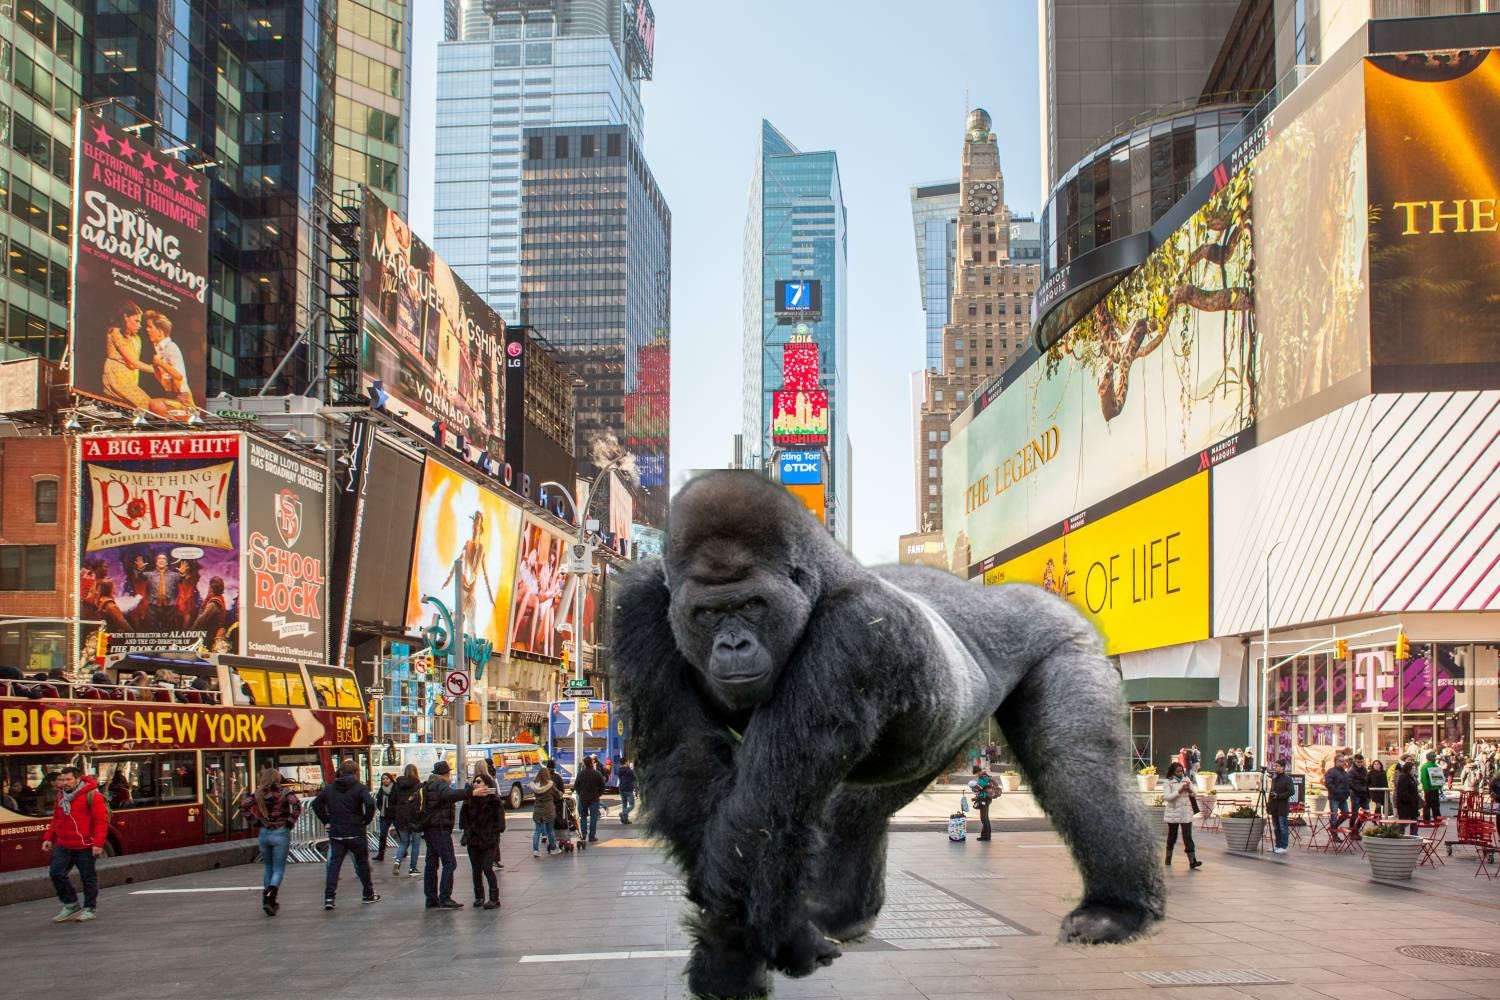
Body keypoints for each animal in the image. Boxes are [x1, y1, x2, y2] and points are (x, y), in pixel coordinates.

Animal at [611, 471, 1164, 1000]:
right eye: (707, 614)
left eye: (751, 605)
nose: (732, 645)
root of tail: (1017, 589)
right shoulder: (640, 606)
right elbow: (688, 759)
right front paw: (771, 942)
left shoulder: (854, 633)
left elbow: (763, 812)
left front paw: (728, 964)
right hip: (946, 728)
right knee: (862, 802)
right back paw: (840, 910)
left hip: (1062, 634)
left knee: (1076, 765)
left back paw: (1116, 907)